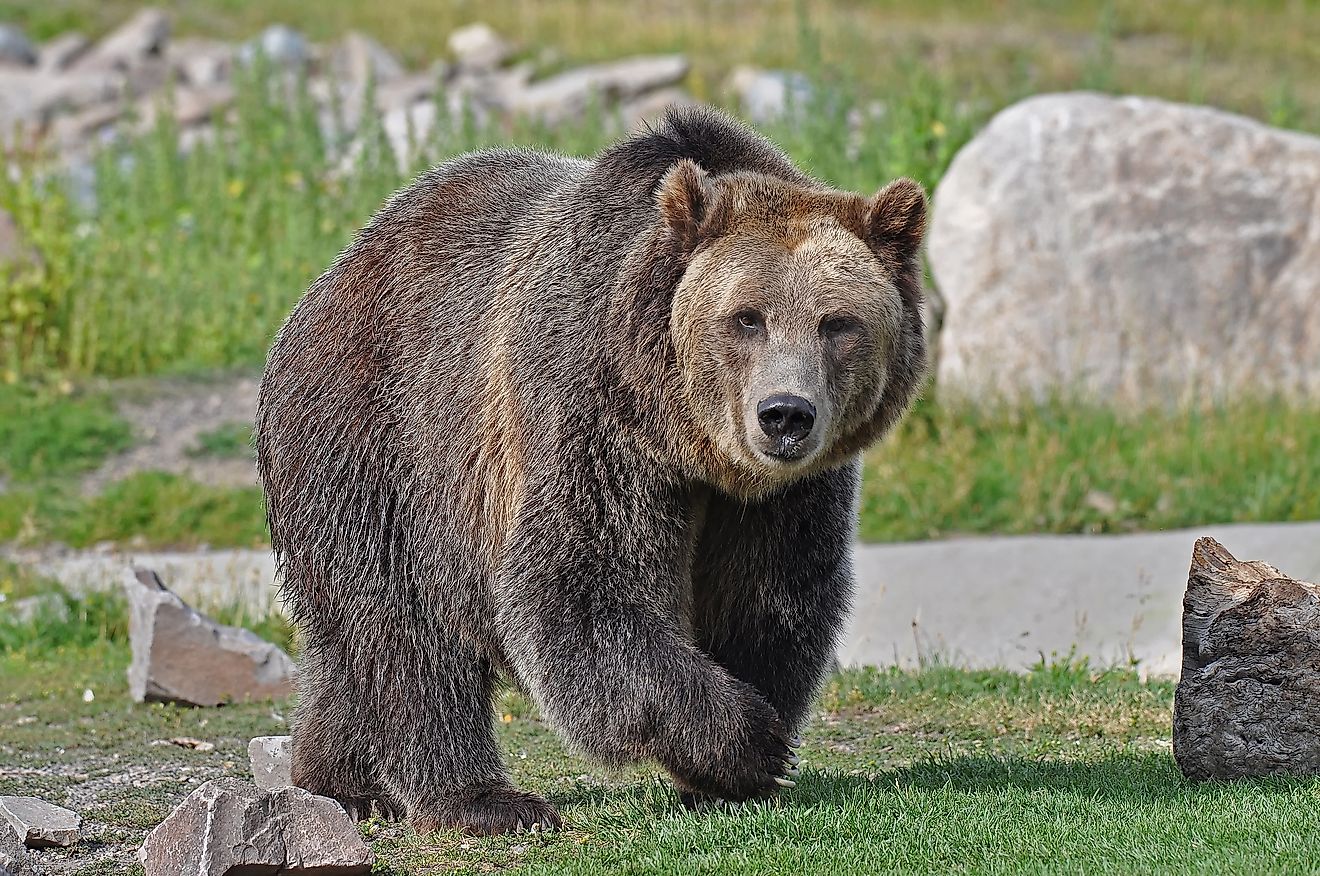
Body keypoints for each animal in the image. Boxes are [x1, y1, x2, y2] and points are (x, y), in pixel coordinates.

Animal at [255, 105, 927, 835]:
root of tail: (325, 284)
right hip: (381, 442)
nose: (784, 415)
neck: (688, 436)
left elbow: (772, 593)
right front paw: (748, 742)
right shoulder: (592, 408)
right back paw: (481, 799)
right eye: (746, 318)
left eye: (838, 323)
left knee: (346, 646)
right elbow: (584, 585)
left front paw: (735, 760)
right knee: (407, 629)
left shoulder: (783, 496)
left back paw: (341, 781)